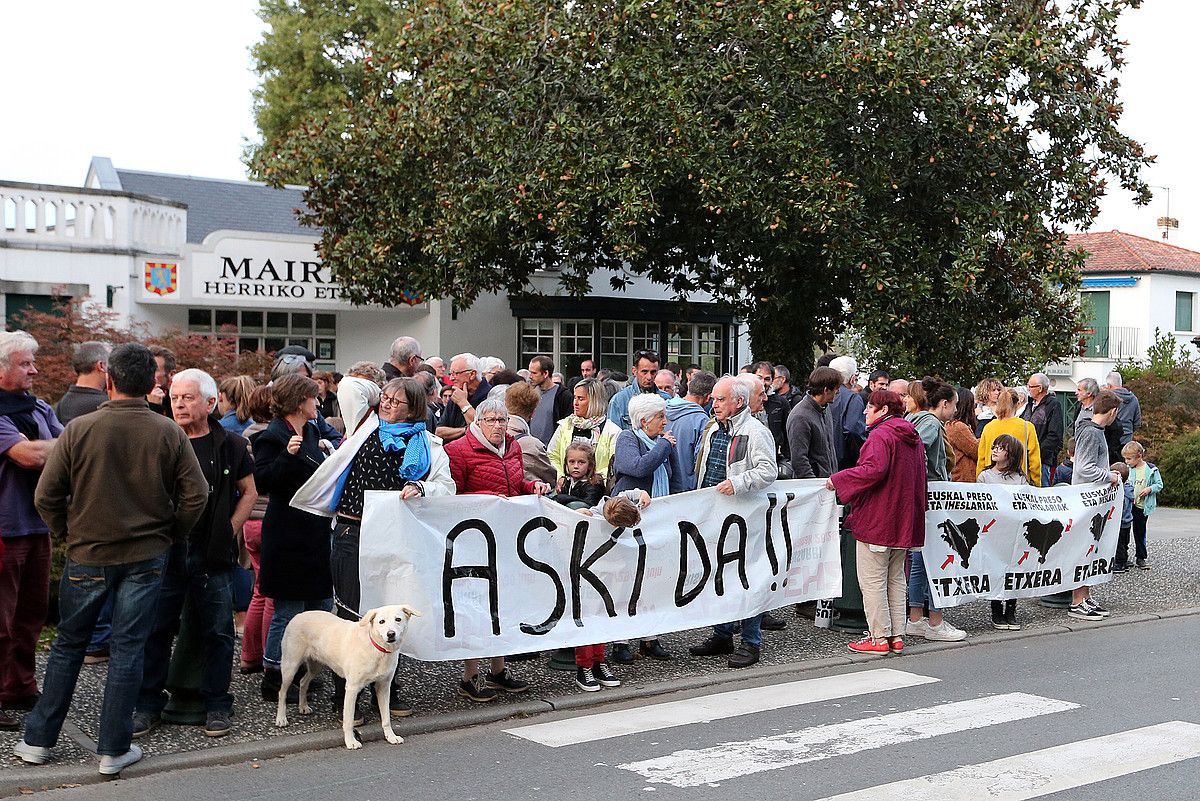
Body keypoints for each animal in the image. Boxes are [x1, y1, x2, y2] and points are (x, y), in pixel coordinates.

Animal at [274, 606, 420, 753]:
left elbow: (386, 718)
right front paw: (351, 742)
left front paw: (391, 736)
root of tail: (299, 615)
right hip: (290, 666)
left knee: (303, 682)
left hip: (316, 666)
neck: (377, 649)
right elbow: (348, 721)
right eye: (381, 621)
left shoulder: (383, 687)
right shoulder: (352, 688)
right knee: (282, 692)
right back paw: (281, 719)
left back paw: (303, 706)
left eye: (398, 619)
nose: (391, 634)